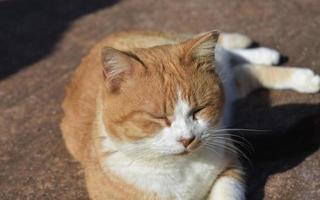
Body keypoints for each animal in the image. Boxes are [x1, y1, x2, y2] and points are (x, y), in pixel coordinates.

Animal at [60, 30, 320, 199]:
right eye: (158, 117)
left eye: (199, 110)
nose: (187, 139)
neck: (179, 167)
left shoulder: (230, 167)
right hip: (230, 83)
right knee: (243, 72)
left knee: (229, 53)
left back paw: (291, 70)